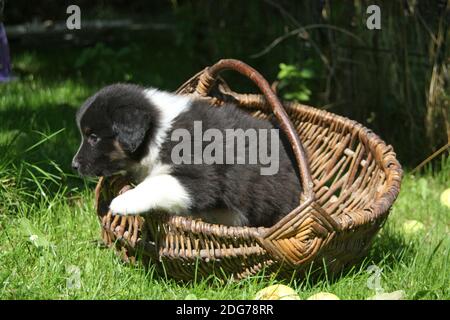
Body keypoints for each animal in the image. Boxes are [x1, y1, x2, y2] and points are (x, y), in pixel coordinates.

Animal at [72, 84, 300, 226]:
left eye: (93, 137)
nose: (74, 165)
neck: (159, 133)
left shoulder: (203, 179)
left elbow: (158, 182)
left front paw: (123, 201)